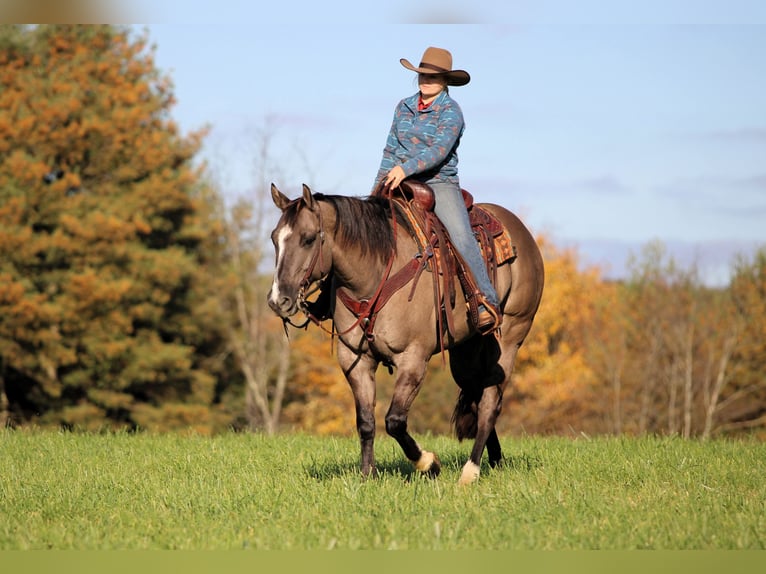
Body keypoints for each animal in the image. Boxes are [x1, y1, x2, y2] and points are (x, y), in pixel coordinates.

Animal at [267, 183, 544, 484]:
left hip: (510, 338)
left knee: (489, 403)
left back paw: (470, 471)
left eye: (307, 239)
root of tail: (521, 232)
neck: (375, 275)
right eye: (274, 239)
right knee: (477, 393)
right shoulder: (355, 359)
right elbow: (366, 421)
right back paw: (493, 461)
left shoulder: (412, 359)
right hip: (466, 354)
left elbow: (395, 421)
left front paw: (429, 463)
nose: (278, 300)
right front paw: (367, 476)